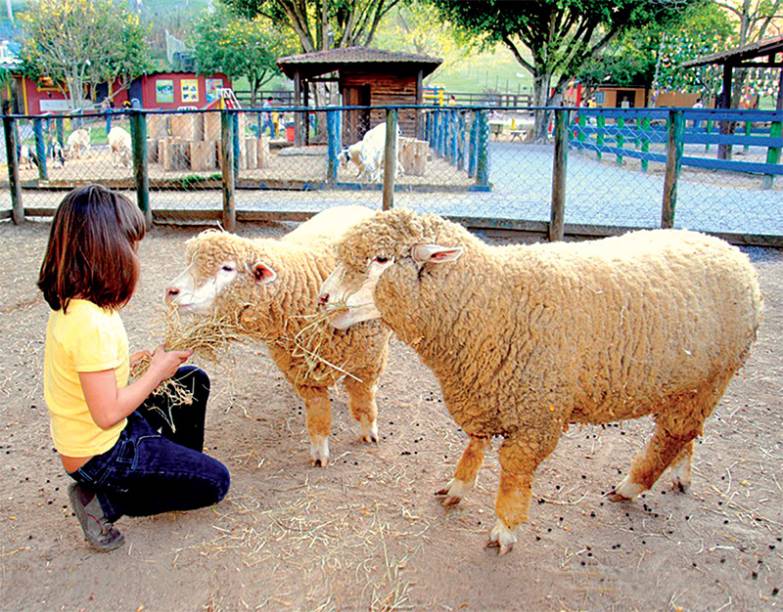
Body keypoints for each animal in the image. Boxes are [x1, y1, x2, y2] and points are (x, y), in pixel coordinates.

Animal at [165, 207, 392, 468]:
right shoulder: (304, 374)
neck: (306, 283)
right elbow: (318, 415)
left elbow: (364, 400)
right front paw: (320, 453)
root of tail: (350, 207)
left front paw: (369, 432)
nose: (171, 291)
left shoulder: (369, 361)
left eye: (227, 268)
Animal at [316, 209, 760, 556]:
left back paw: (631, 486)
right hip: (690, 386)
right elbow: (475, 443)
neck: (493, 302)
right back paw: (679, 475)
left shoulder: (536, 416)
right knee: (685, 432)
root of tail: (733, 253)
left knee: (672, 434)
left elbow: (514, 472)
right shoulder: (485, 391)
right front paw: (458, 485)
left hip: (714, 377)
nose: (322, 299)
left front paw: (504, 528)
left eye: (380, 259)